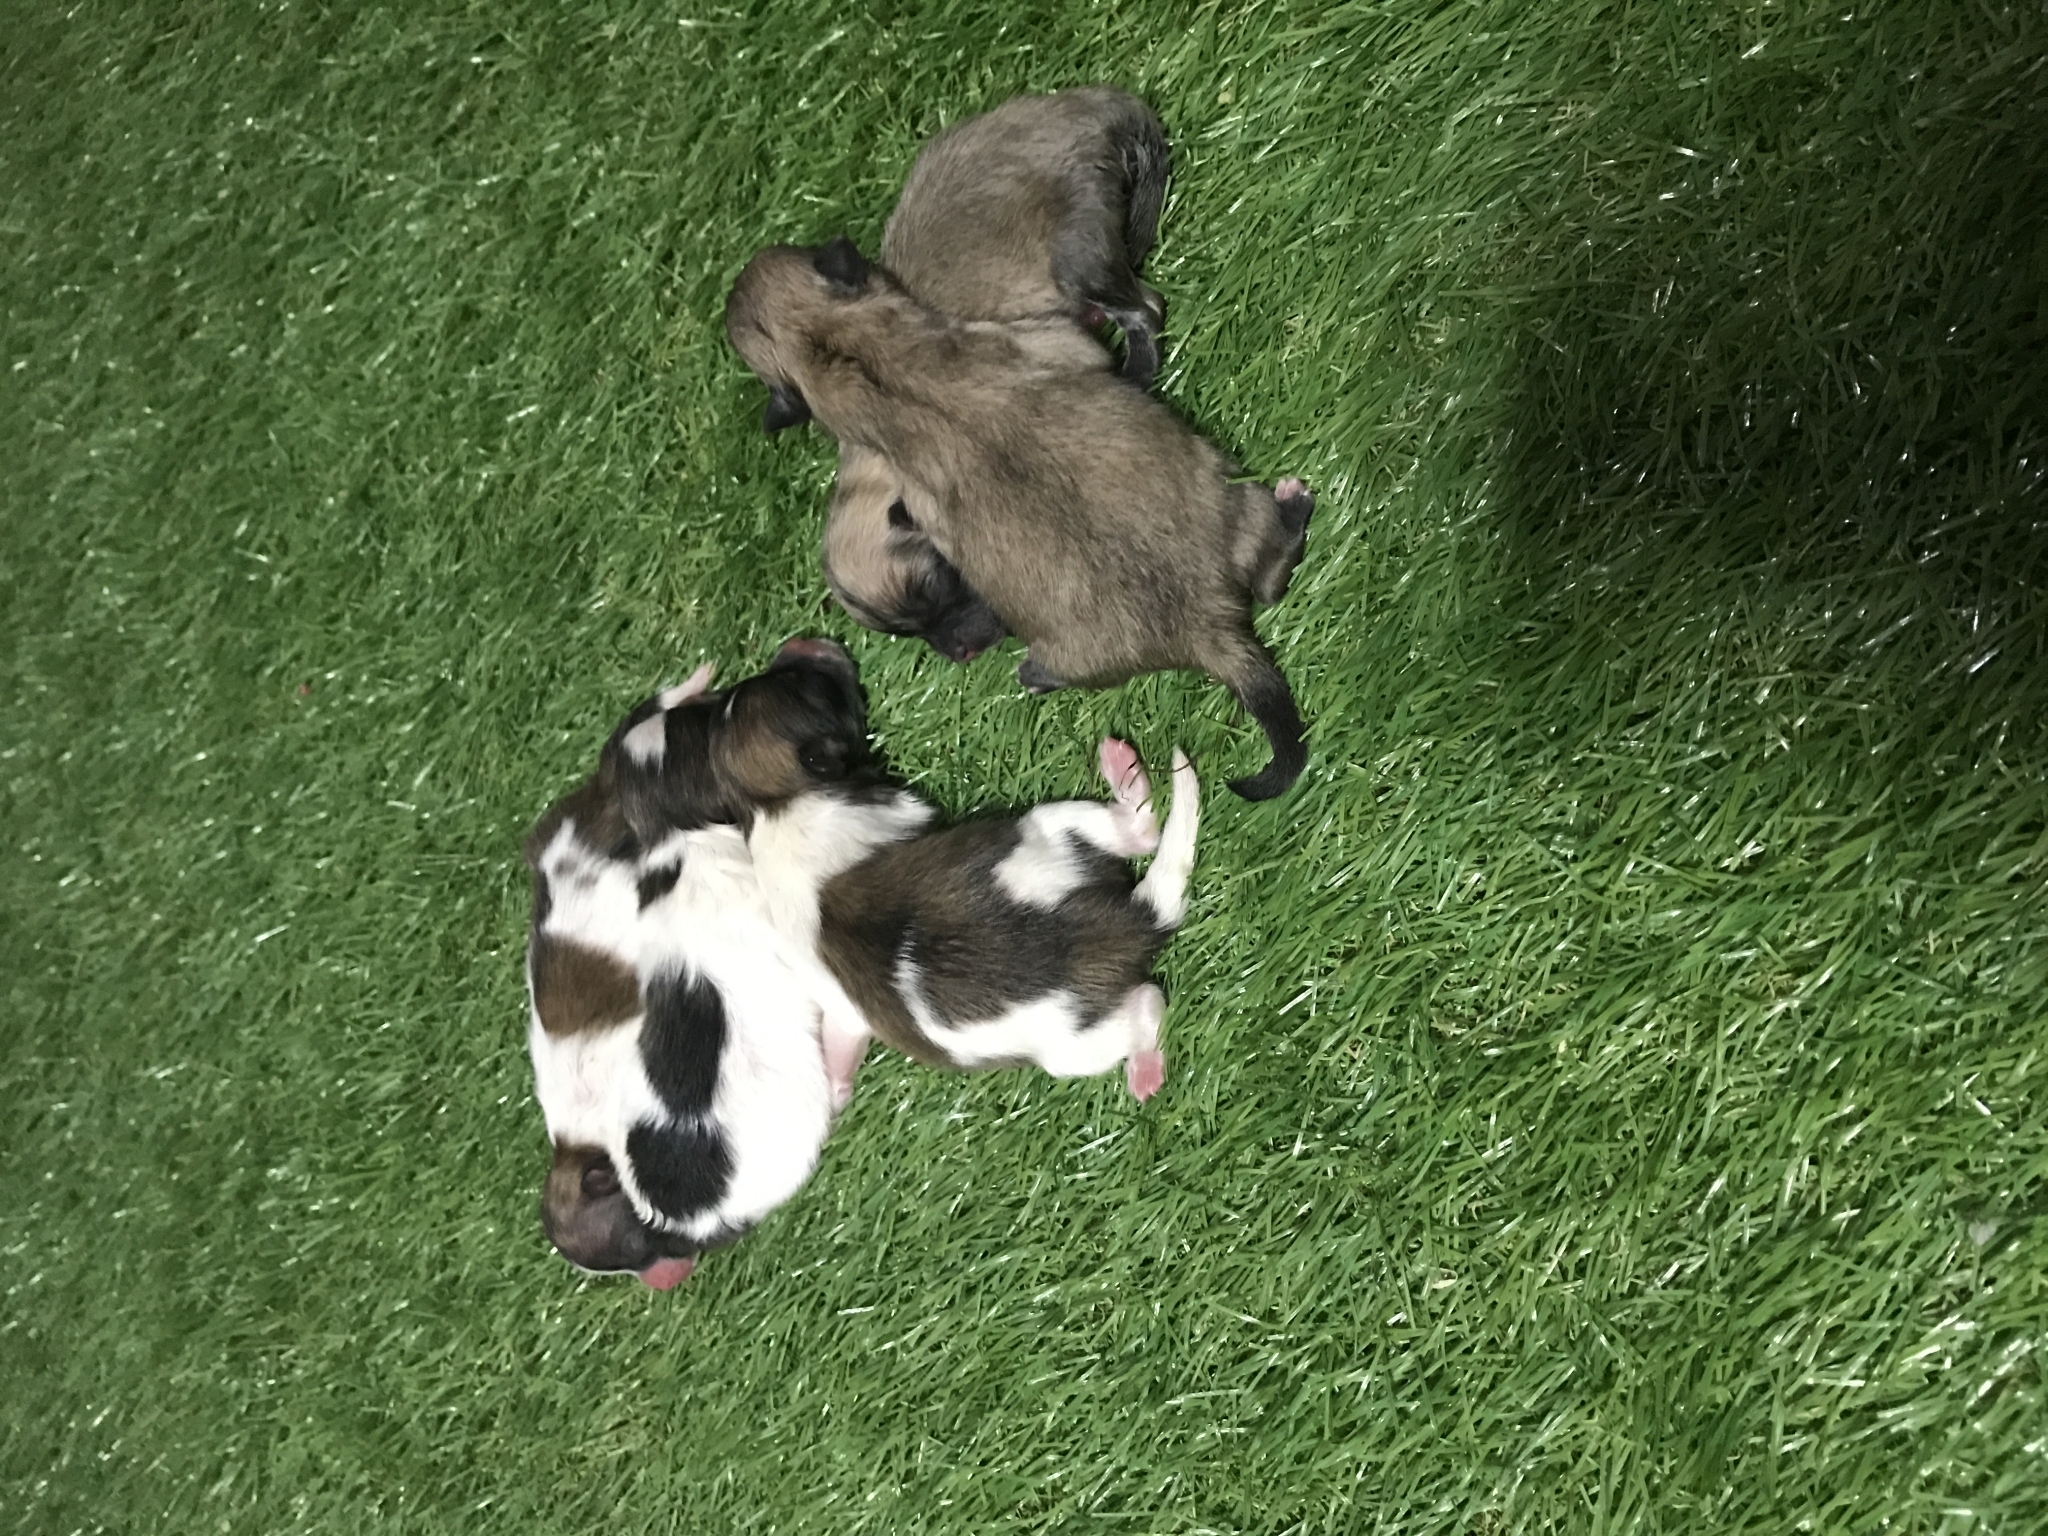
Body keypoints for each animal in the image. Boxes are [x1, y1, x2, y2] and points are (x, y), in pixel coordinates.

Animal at [726, 239, 1315, 799]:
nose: (961, 651)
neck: (846, 353)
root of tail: (1206, 626)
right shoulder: (1049, 339)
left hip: (1237, 507)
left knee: (1272, 572)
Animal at [810, 86, 1171, 663]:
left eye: (937, 583)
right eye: (906, 630)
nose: (961, 654)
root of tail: (1085, 106)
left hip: (1078, 259)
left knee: (1146, 308)